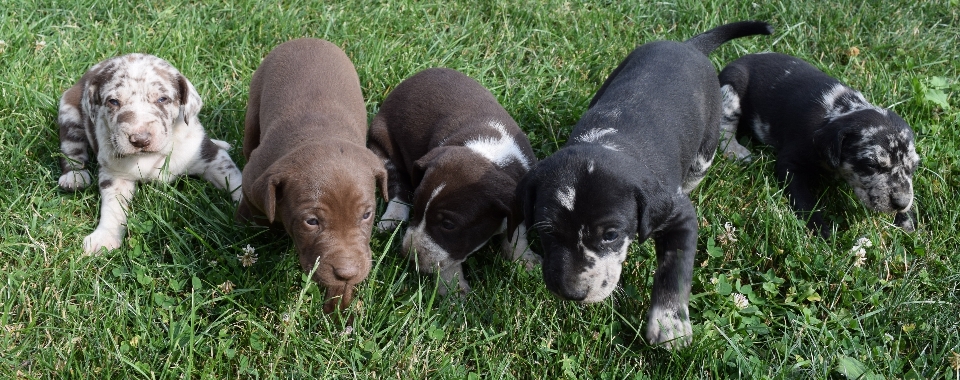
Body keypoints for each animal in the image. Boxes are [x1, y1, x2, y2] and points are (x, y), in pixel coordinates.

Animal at [57, 52, 244, 255]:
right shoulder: (114, 175)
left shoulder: (211, 157)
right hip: (68, 112)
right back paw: (74, 176)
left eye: (162, 99)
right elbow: (112, 207)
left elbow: (235, 180)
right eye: (113, 102)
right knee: (71, 147)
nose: (140, 139)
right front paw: (104, 236)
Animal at [236, 37, 386, 312]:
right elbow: (252, 208)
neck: (321, 134)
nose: (347, 272)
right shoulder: (253, 178)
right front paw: (246, 227)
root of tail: (307, 39)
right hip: (254, 107)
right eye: (311, 221)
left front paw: (338, 311)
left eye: (366, 215)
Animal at [372, 67, 544, 294]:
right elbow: (446, 264)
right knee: (396, 183)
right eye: (417, 209)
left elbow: (517, 231)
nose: (408, 256)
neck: (487, 154)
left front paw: (524, 259)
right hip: (381, 143)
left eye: (448, 225)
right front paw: (454, 290)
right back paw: (393, 217)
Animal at [510, 20, 772, 348]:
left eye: (610, 235)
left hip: (705, 148)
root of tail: (688, 46)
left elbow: (675, 269)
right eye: (546, 231)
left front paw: (669, 324)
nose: (572, 292)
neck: (609, 143)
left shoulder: (678, 214)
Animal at [716, 52, 920, 238]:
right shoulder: (791, 163)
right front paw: (819, 227)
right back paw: (735, 150)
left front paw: (907, 219)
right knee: (725, 126)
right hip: (732, 89)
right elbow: (803, 199)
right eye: (871, 165)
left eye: (913, 168)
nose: (901, 203)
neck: (838, 111)